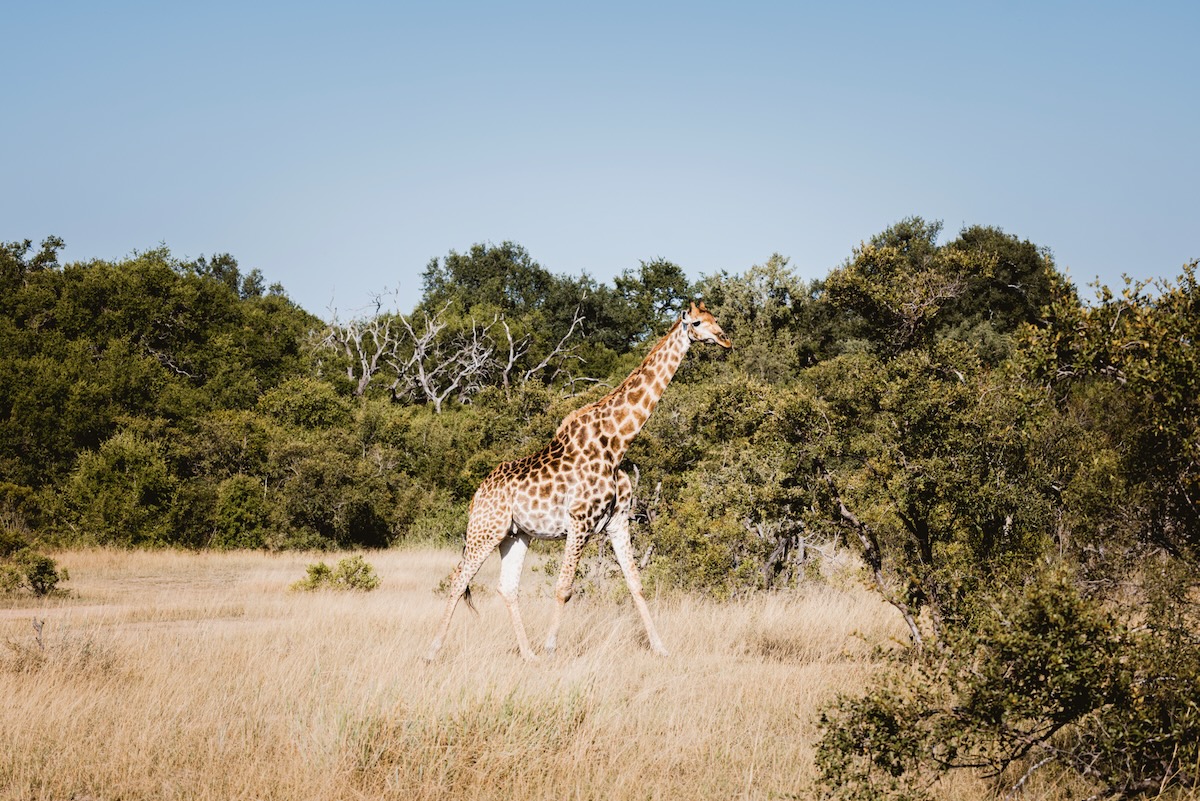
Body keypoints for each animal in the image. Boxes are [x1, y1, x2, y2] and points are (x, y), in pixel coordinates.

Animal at [427, 299, 734, 661]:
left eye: (716, 319)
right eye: (698, 323)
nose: (726, 340)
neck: (616, 443)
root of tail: (477, 494)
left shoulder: (617, 521)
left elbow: (636, 584)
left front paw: (661, 648)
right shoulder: (579, 521)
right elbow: (564, 589)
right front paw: (550, 648)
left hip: (515, 535)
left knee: (507, 587)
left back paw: (527, 654)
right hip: (485, 529)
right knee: (459, 579)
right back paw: (433, 651)